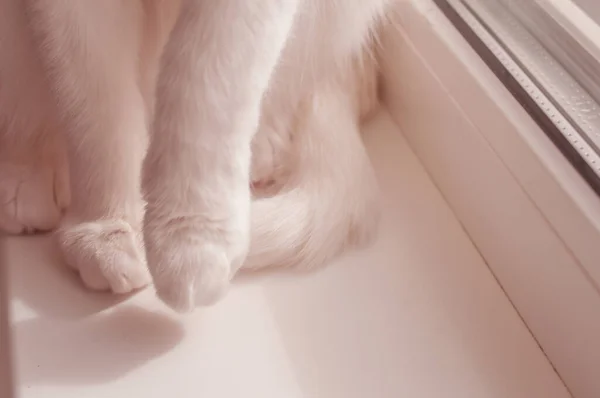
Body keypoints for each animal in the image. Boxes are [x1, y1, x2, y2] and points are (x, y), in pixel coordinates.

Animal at [0, 0, 390, 310]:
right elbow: (97, 111)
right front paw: (108, 225)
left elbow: (205, 86)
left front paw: (192, 239)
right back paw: (27, 173)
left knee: (293, 88)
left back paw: (262, 149)